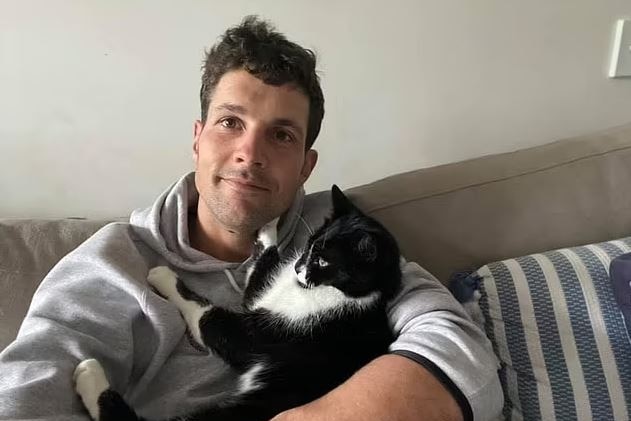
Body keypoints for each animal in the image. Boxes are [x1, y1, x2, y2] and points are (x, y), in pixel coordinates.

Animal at [73, 185, 400, 420]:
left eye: (323, 261)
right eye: (310, 245)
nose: (297, 267)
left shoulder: (273, 332)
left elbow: (210, 318)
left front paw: (163, 276)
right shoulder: (263, 294)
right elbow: (260, 272)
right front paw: (269, 220)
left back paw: (90, 376)